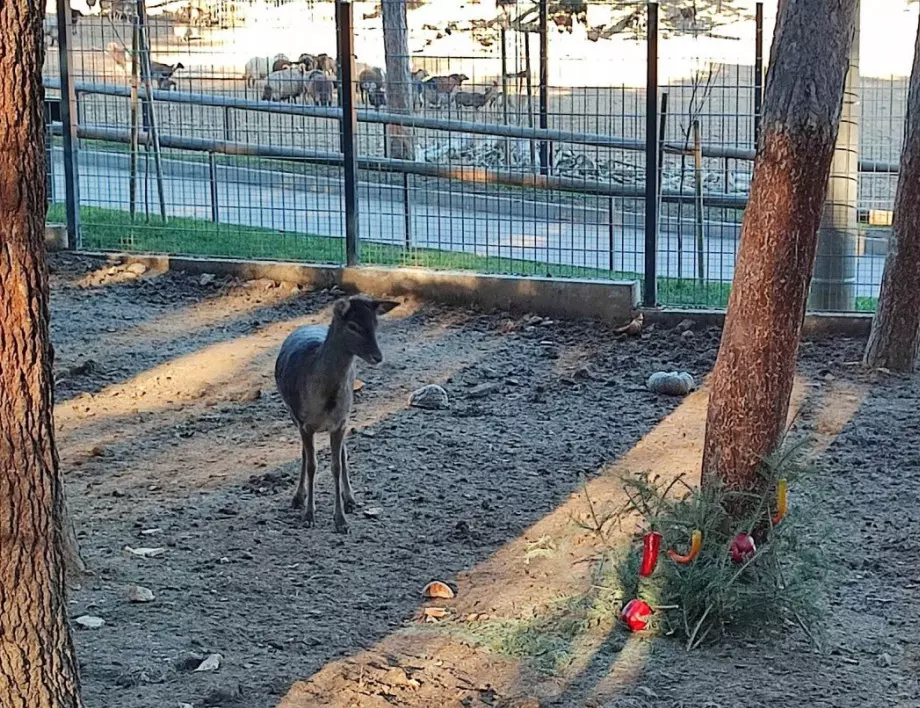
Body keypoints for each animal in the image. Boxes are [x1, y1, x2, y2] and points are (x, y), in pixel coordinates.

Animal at [274, 294, 400, 532]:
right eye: (353, 326)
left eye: (375, 324)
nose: (377, 356)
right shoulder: (305, 423)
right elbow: (312, 464)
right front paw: (309, 515)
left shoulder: (340, 422)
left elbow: (336, 465)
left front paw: (341, 519)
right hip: (293, 414)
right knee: (305, 454)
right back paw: (298, 497)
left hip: (346, 414)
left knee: (342, 453)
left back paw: (350, 498)